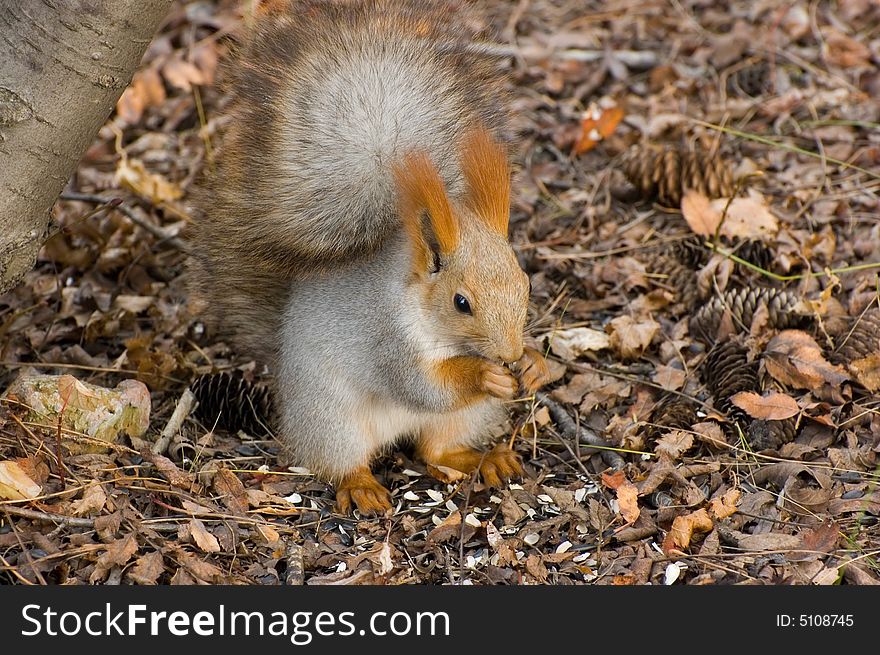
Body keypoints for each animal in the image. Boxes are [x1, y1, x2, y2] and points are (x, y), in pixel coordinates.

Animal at [187, 0, 552, 516]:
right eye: (461, 303)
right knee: (343, 462)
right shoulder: (386, 340)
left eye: (526, 285)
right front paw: (485, 373)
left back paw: (487, 458)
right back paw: (361, 485)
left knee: (435, 449)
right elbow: (424, 387)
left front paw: (536, 365)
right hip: (332, 417)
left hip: (461, 419)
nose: (509, 355)